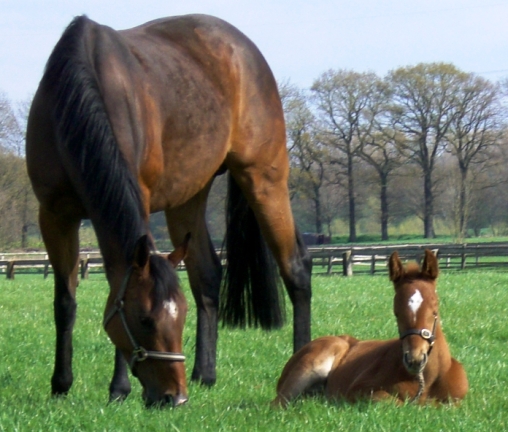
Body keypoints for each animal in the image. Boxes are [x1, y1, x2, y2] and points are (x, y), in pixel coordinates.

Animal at [25, 12, 312, 404]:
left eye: (179, 318)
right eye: (145, 320)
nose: (174, 397)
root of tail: (245, 49)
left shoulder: (139, 199)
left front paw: (118, 389)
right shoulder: (53, 215)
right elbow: (65, 302)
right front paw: (61, 384)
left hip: (264, 178)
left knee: (296, 268)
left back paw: (300, 362)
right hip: (188, 199)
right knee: (207, 274)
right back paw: (205, 374)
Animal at [272, 250, 466, 408]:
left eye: (435, 311)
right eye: (396, 313)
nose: (415, 359)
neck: (428, 379)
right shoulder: (358, 390)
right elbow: (396, 402)